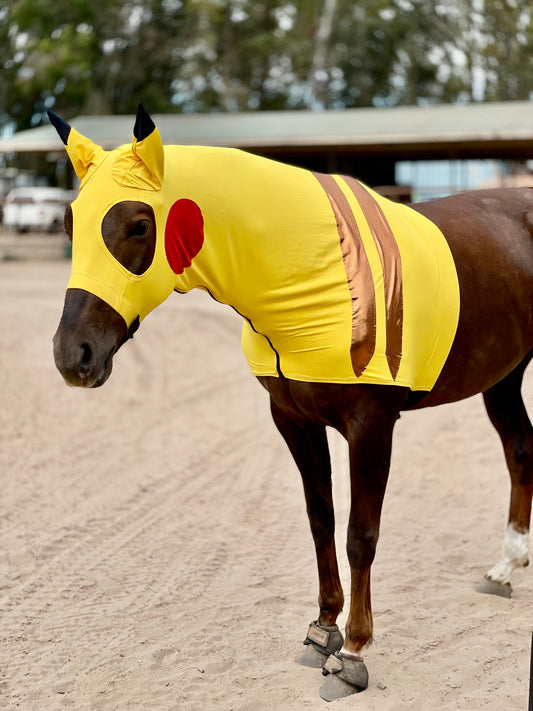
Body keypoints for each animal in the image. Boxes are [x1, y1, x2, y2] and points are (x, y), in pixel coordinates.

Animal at [49, 105, 533, 701]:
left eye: (140, 225)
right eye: (70, 224)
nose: (73, 355)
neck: (316, 267)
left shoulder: (372, 426)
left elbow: (360, 536)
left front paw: (352, 653)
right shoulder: (294, 421)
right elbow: (320, 518)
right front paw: (323, 630)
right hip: (504, 376)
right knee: (520, 451)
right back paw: (505, 569)